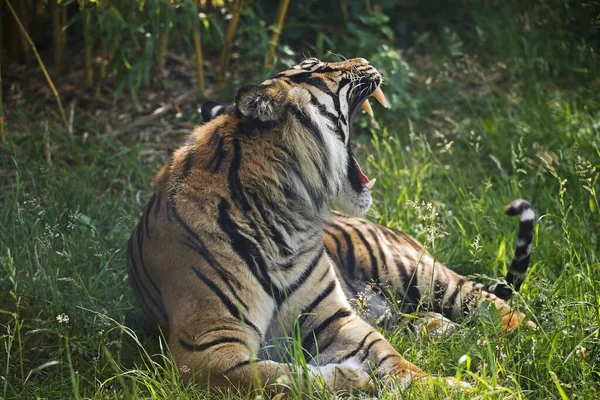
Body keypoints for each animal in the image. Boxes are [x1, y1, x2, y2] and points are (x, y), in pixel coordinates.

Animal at [127, 57, 536, 396]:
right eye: (317, 66)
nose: (365, 59)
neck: (286, 219)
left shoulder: (331, 318)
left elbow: (390, 358)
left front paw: (439, 387)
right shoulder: (205, 348)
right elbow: (276, 376)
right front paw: (351, 377)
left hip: (415, 271)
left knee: (492, 304)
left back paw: (534, 338)